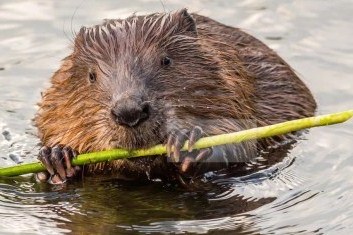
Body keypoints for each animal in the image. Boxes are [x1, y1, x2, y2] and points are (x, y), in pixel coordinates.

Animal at [34, 8, 316, 184]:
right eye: (91, 75)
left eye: (166, 60)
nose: (129, 112)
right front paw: (57, 158)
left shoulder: (237, 87)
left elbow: (242, 141)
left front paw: (188, 144)